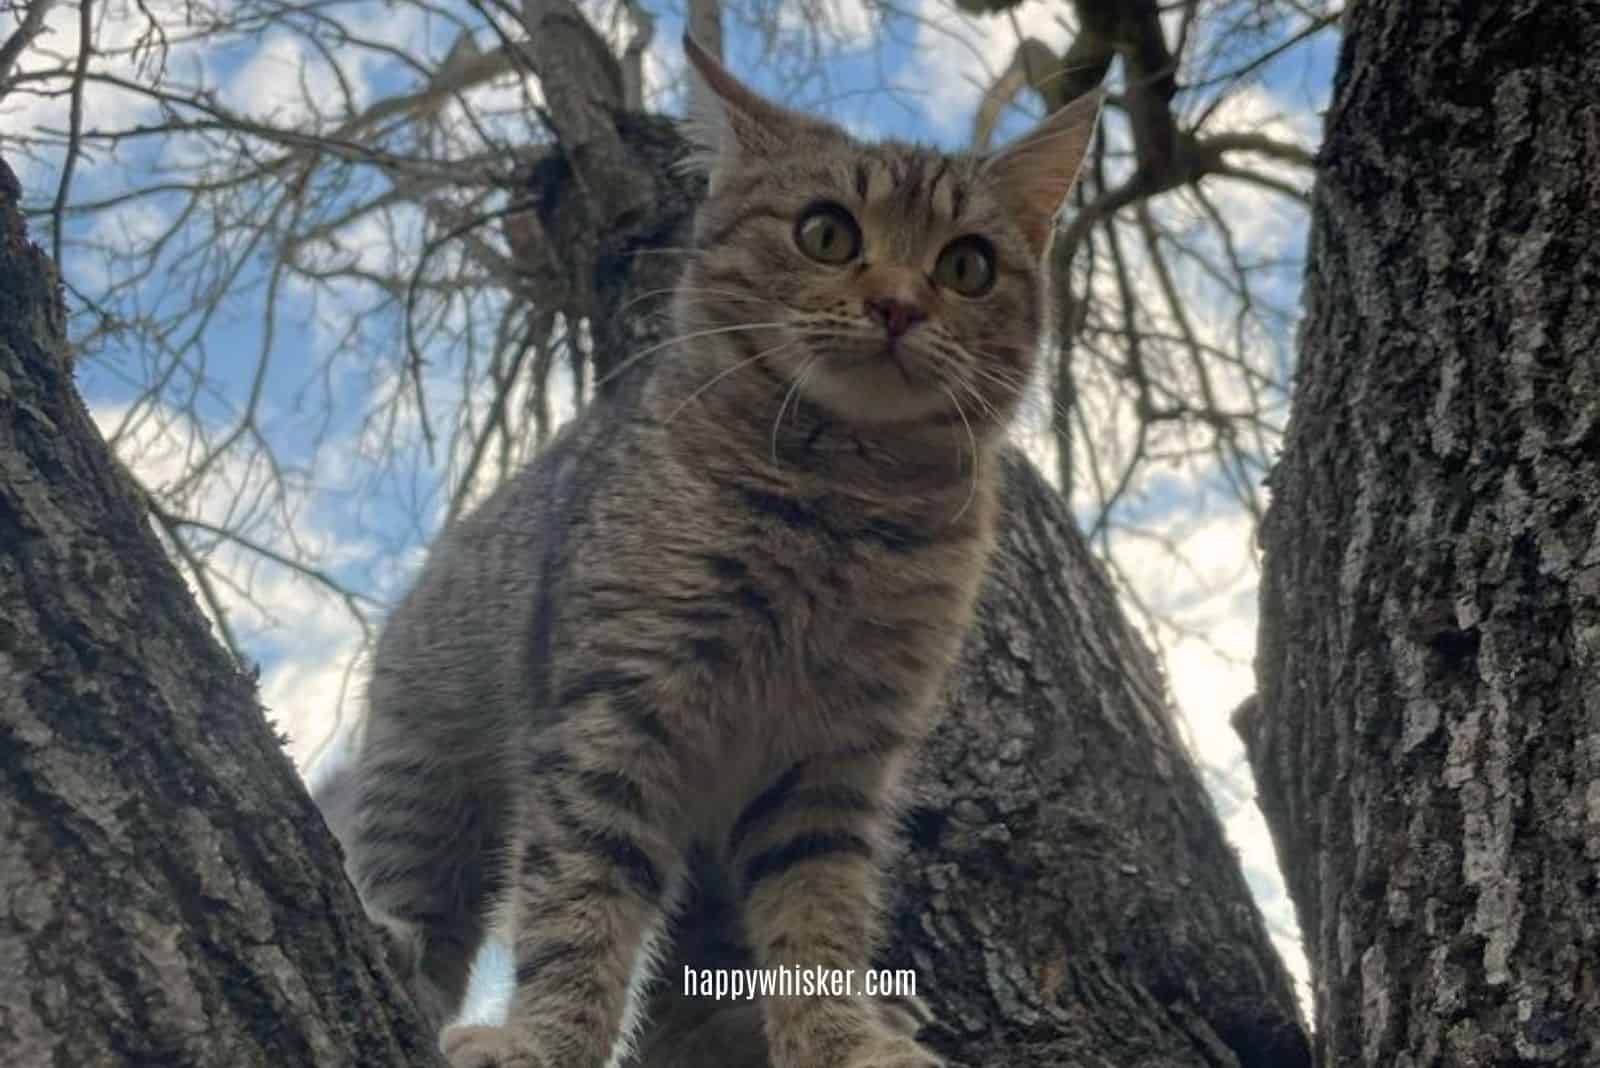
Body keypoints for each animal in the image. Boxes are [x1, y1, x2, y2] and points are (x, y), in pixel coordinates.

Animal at [324, 33, 1100, 1068]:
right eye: (826, 234)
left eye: (968, 265)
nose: (899, 304)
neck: (840, 511)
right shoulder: (613, 715)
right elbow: (578, 905)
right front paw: (548, 1041)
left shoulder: (827, 768)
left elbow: (816, 922)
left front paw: (844, 1039)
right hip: (428, 776)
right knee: (425, 904)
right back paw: (398, 946)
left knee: (688, 1006)